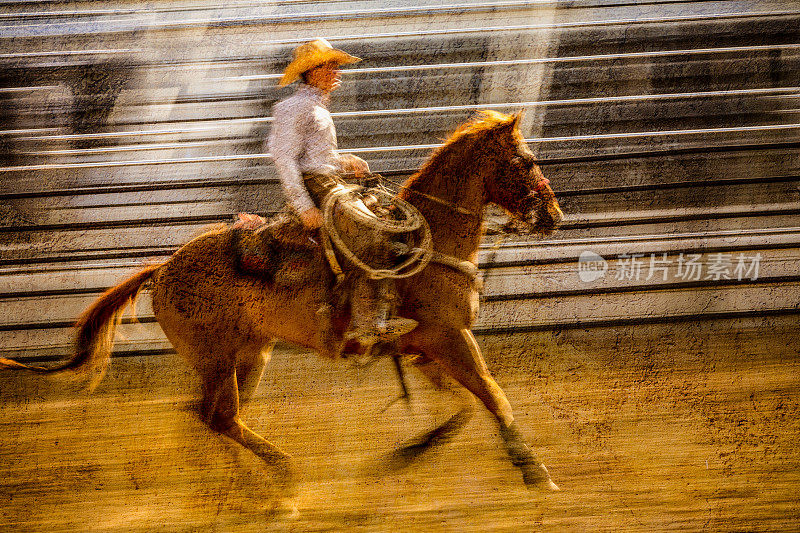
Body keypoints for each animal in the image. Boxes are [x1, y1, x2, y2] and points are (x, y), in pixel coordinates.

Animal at [0, 111, 564, 498]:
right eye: (527, 161)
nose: (554, 216)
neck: (427, 243)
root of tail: (162, 269)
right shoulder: (447, 336)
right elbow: (492, 395)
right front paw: (536, 472)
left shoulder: (422, 347)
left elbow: (465, 406)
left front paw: (405, 455)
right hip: (219, 357)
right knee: (220, 419)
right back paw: (281, 483)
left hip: (249, 355)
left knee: (209, 417)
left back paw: (240, 489)